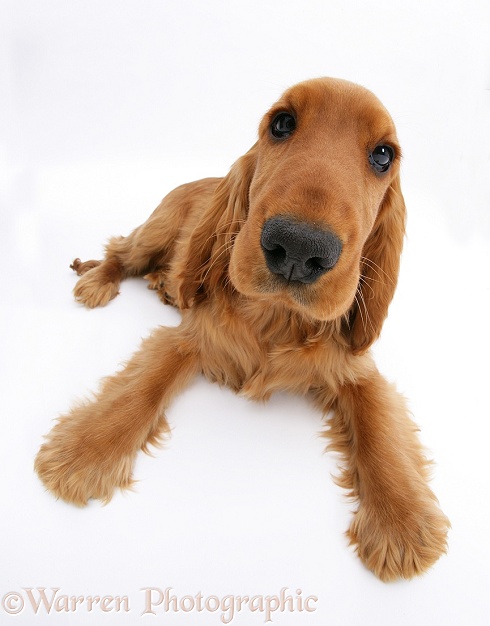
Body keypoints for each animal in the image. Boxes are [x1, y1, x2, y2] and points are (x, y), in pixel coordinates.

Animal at [33, 78, 448, 580]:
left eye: (383, 155)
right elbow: (143, 388)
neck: (277, 319)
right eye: (282, 123)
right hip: (156, 230)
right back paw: (99, 281)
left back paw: (164, 285)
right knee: (120, 251)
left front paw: (401, 520)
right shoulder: (190, 337)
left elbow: (379, 427)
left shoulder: (356, 368)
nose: (298, 246)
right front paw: (85, 452)